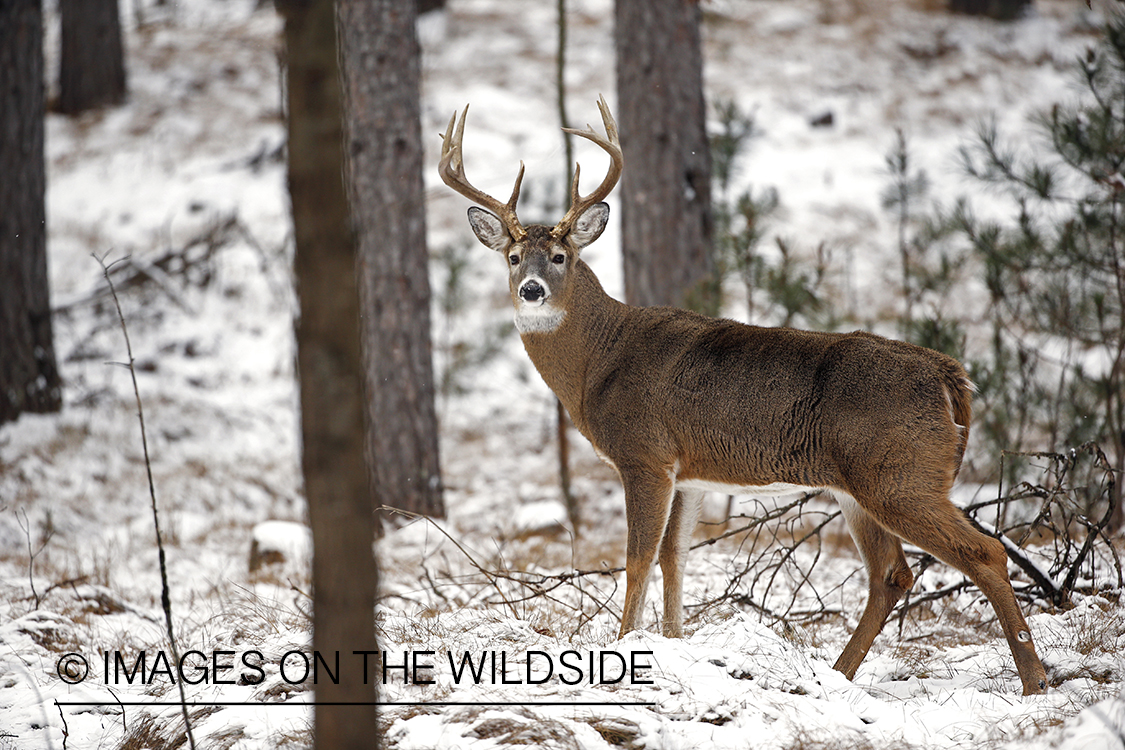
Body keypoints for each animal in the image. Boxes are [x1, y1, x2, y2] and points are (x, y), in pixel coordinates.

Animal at [436, 96, 1044, 697]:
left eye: (560, 257)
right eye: (514, 257)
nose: (530, 290)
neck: (598, 364)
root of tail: (950, 376)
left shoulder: (644, 455)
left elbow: (637, 558)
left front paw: (622, 648)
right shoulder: (687, 472)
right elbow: (674, 558)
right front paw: (673, 644)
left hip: (901, 475)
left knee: (984, 551)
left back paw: (1034, 680)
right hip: (863, 485)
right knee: (892, 573)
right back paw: (838, 675)